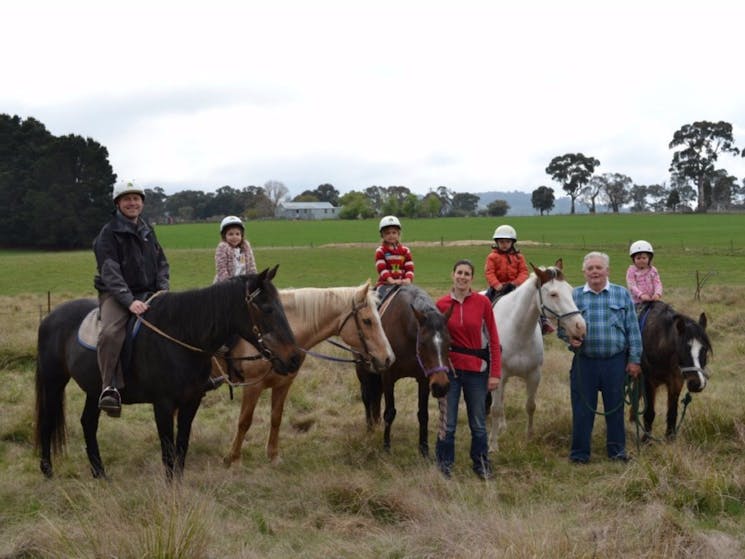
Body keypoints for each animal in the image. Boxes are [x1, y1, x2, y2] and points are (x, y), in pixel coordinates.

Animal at [32, 268, 300, 482]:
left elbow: (182, 445)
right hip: (54, 383)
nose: (294, 358)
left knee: (88, 423)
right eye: (267, 308)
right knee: (48, 422)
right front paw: (171, 489)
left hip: (95, 389)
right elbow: (168, 449)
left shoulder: (191, 402)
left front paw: (178, 485)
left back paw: (100, 474)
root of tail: (49, 318)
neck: (181, 337)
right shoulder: (162, 404)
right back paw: (47, 471)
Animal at [219, 282, 396, 466]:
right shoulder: (253, 386)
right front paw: (233, 458)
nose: (389, 358)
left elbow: (276, 418)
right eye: (367, 321)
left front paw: (273, 455)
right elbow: (244, 421)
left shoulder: (283, 383)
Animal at [356, 286, 454, 458]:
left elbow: (423, 414)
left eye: (449, 343)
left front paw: (424, 450)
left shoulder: (424, 379)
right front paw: (386, 447)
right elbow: (390, 412)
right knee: (367, 399)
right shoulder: (388, 377)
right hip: (364, 373)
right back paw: (370, 429)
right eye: (422, 343)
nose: (441, 386)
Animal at [488, 262, 588, 450]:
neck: (518, 330)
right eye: (553, 294)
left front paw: (529, 438)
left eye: (570, 290)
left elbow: (530, 406)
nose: (580, 327)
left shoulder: (534, 375)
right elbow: (495, 409)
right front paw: (492, 445)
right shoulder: (499, 375)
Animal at [632, 302, 712, 442]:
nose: (698, 384)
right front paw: (646, 439)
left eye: (704, 349)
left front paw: (670, 437)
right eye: (682, 349)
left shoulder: (676, 381)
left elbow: (672, 413)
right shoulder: (648, 382)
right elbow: (649, 412)